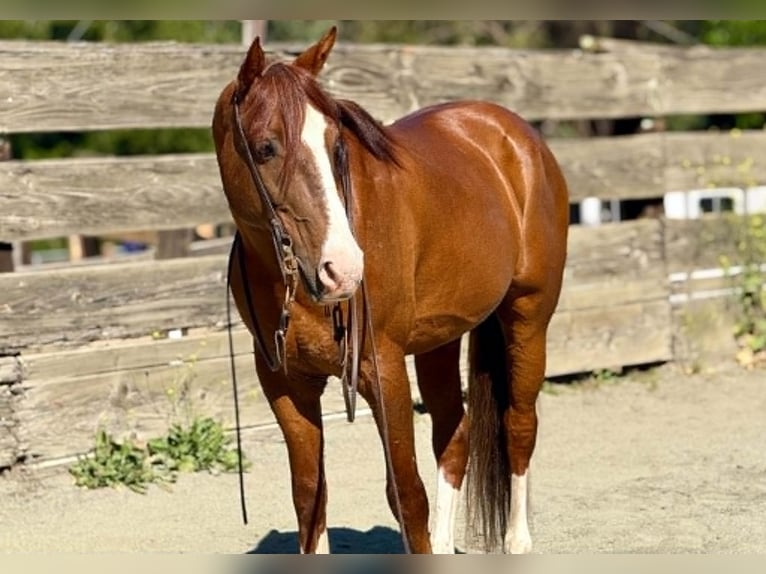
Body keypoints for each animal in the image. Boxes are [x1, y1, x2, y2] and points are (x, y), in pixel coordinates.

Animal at [212, 27, 569, 554]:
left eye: (337, 145)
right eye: (264, 147)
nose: (343, 270)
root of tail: (515, 134)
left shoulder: (383, 370)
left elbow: (405, 492)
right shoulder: (286, 384)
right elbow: (309, 495)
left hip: (527, 317)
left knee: (519, 426)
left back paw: (517, 541)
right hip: (440, 339)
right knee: (454, 436)